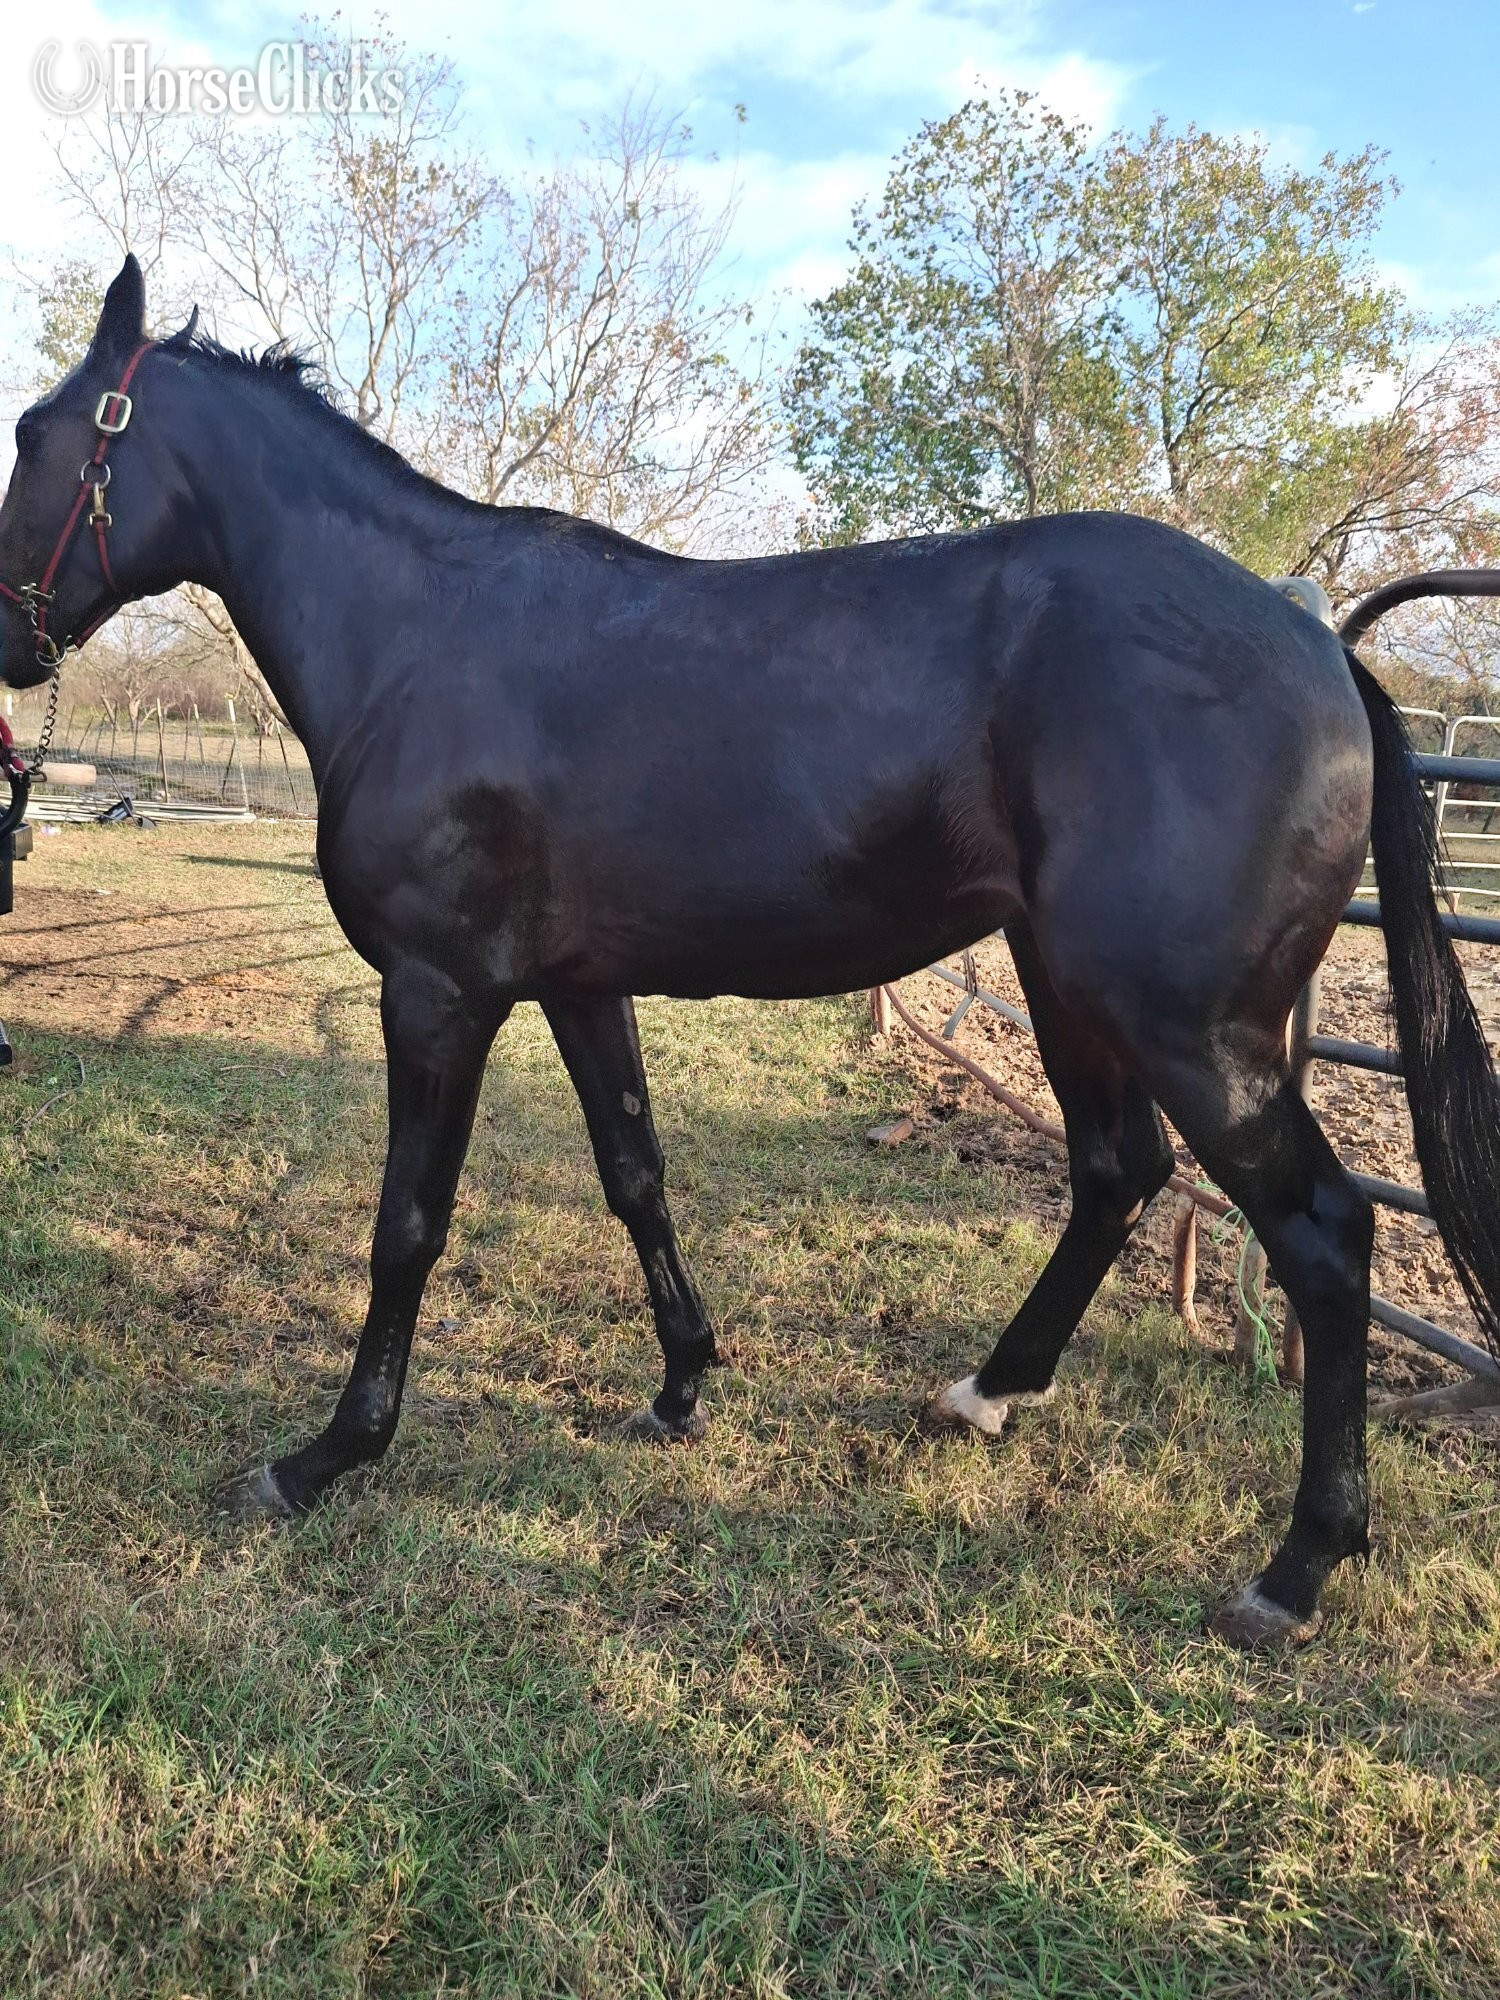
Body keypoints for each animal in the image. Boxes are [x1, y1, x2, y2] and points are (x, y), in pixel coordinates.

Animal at [3, 257, 1496, 1650]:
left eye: (36, 430)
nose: (12, 643)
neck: (419, 638)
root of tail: (1313, 640)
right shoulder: (575, 986)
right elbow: (635, 1172)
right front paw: (680, 1383)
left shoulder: (439, 994)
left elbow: (406, 1224)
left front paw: (328, 1454)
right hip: (1071, 987)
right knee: (1117, 1173)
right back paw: (984, 1395)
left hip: (1194, 1028)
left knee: (1324, 1233)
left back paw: (1296, 1566)